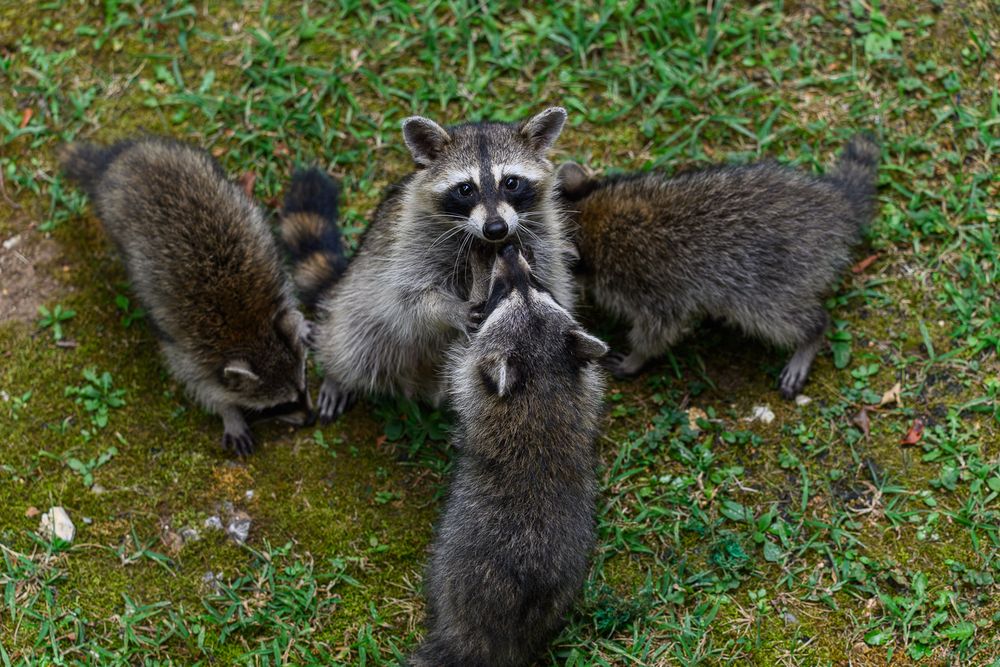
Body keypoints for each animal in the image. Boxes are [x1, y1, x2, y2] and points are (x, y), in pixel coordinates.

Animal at [60, 137, 312, 456]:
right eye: (280, 405)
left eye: (303, 388)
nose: (312, 418)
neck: (252, 334)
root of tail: (119, 160)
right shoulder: (189, 349)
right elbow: (198, 381)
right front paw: (229, 411)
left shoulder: (276, 292)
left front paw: (301, 325)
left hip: (200, 165)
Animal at [304, 107, 577, 422]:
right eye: (465, 189)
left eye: (511, 182)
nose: (496, 228)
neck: (484, 242)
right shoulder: (411, 242)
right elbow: (409, 298)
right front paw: (448, 309)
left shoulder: (542, 237)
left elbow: (545, 284)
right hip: (357, 295)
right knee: (353, 340)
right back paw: (337, 373)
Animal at [409, 245, 607, 667]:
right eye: (535, 284)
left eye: (504, 294)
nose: (510, 249)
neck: (543, 384)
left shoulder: (474, 386)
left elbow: (458, 365)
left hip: (450, 565)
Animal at [558, 134, 879, 398]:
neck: (596, 222)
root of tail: (836, 206)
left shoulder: (648, 284)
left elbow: (659, 329)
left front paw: (636, 358)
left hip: (775, 277)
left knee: (783, 317)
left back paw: (811, 335)